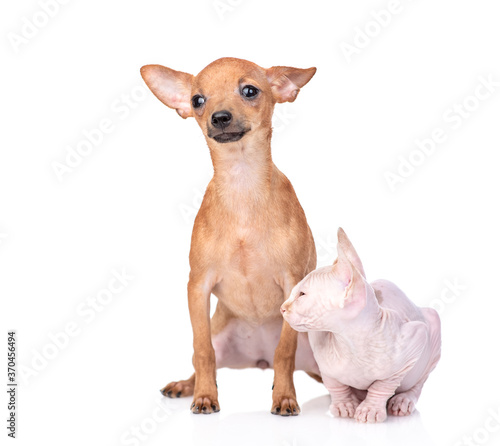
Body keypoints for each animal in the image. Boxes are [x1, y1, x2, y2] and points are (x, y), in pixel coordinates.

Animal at [143, 57, 318, 416]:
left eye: (249, 91)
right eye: (197, 100)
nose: (219, 117)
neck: (241, 183)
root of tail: (258, 358)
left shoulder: (291, 283)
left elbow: (285, 351)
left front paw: (284, 398)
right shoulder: (198, 287)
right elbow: (202, 350)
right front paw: (205, 396)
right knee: (202, 360)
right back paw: (187, 385)